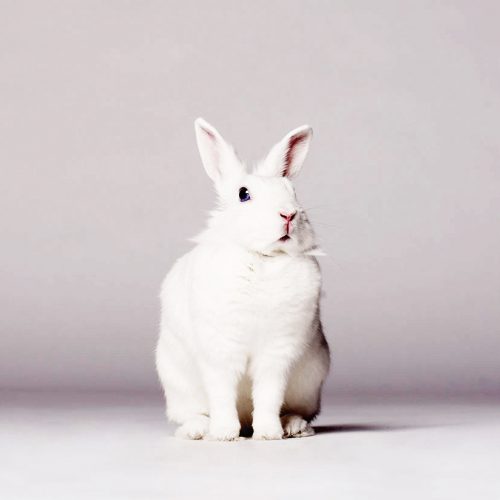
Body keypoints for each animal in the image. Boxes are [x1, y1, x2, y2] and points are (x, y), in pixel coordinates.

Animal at [156, 118, 330, 441]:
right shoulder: (221, 350)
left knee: (294, 408)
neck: (262, 258)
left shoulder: (277, 354)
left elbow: (269, 394)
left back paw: (294, 426)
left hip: (309, 386)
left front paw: (268, 434)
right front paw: (224, 434)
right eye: (243, 194)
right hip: (179, 388)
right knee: (193, 412)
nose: (288, 214)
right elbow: (222, 393)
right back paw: (199, 430)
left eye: (292, 191)